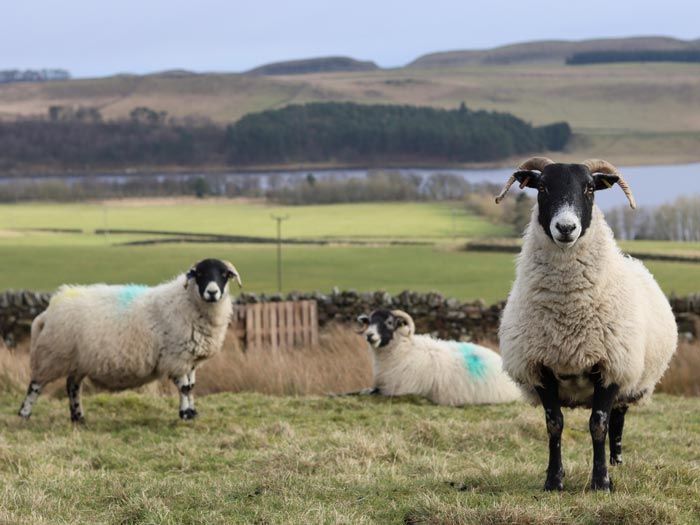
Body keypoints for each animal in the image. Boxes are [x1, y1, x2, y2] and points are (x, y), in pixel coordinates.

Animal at [17, 258, 242, 422]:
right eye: (200, 274)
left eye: (224, 275)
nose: (212, 292)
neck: (187, 302)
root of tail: (50, 309)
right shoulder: (176, 357)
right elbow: (184, 388)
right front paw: (185, 414)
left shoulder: (190, 359)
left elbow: (192, 387)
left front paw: (192, 412)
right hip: (52, 354)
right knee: (36, 385)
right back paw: (24, 414)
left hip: (78, 359)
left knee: (72, 385)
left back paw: (78, 417)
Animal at [336, 312, 524, 406]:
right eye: (369, 321)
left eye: (389, 322)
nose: (369, 335)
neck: (404, 350)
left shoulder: (395, 390)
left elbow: (364, 391)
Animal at [492, 157, 680, 492]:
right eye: (542, 187)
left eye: (589, 188)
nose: (566, 228)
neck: (568, 317)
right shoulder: (541, 368)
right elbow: (554, 425)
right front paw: (553, 480)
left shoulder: (610, 367)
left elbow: (599, 425)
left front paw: (601, 481)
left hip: (629, 373)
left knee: (617, 418)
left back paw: (617, 461)